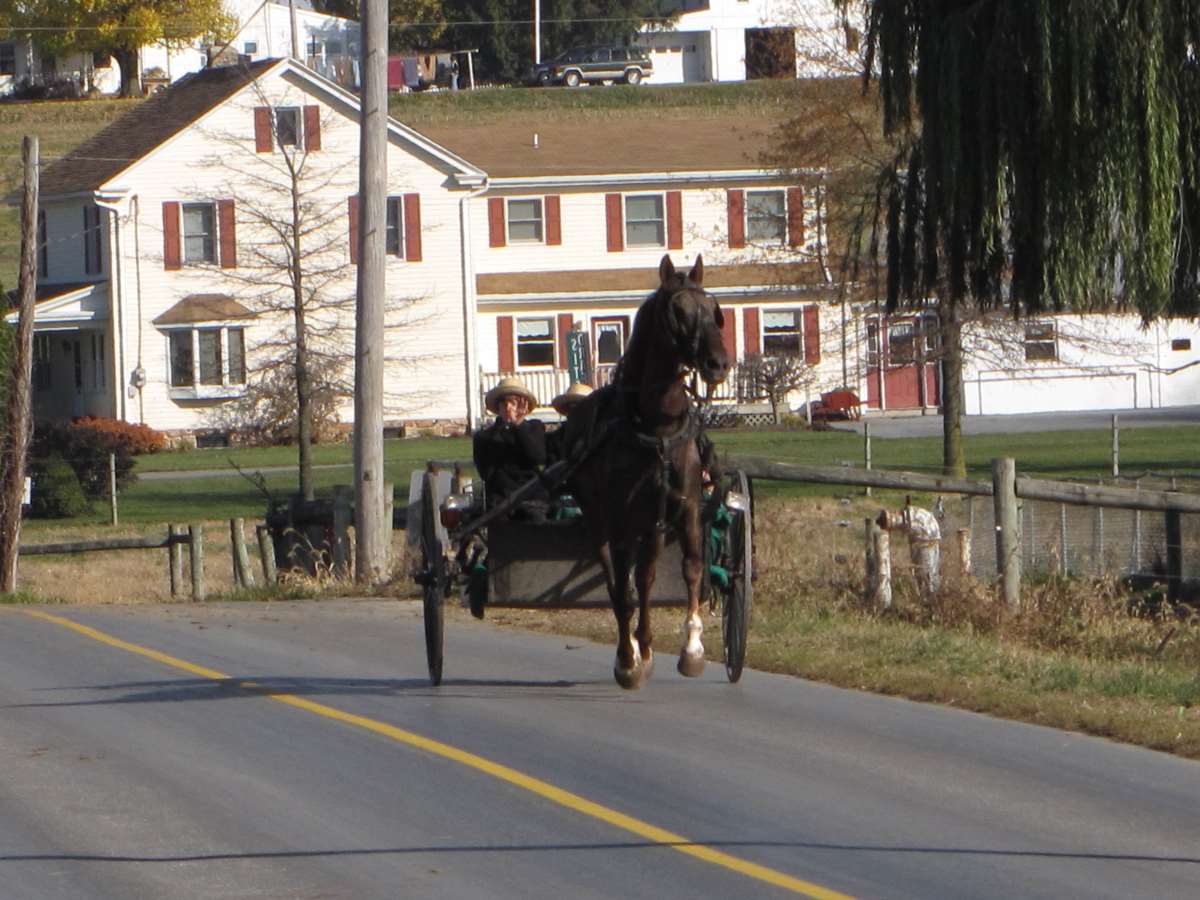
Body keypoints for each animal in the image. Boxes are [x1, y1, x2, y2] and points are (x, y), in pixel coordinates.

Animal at [564, 254, 729, 691]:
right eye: (678, 311)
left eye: (713, 308)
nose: (718, 363)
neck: (657, 428)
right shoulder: (622, 519)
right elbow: (623, 593)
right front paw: (627, 660)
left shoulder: (686, 507)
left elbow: (691, 569)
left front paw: (692, 650)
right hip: (602, 519)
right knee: (618, 579)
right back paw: (633, 650)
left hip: (652, 524)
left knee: (647, 577)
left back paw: (647, 644)